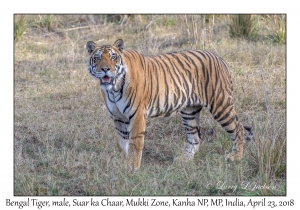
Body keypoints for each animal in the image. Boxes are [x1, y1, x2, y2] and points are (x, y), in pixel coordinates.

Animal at [85, 39, 253, 170]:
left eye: (113, 57)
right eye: (98, 58)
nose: (105, 69)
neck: (113, 89)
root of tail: (219, 58)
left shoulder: (137, 115)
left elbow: (134, 143)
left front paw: (132, 167)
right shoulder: (118, 117)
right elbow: (121, 144)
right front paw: (122, 165)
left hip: (220, 105)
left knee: (237, 128)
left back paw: (235, 157)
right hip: (189, 112)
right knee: (195, 137)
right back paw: (184, 159)